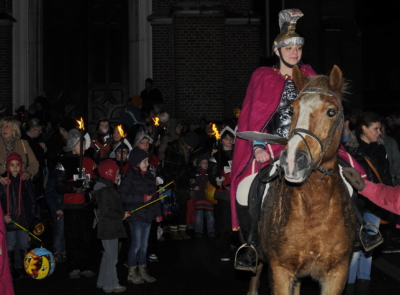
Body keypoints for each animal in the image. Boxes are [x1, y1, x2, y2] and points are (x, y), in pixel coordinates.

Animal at [247, 65, 356, 295]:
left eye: (331, 111)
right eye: (292, 110)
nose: (292, 161)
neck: (314, 207)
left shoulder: (337, 272)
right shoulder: (280, 271)